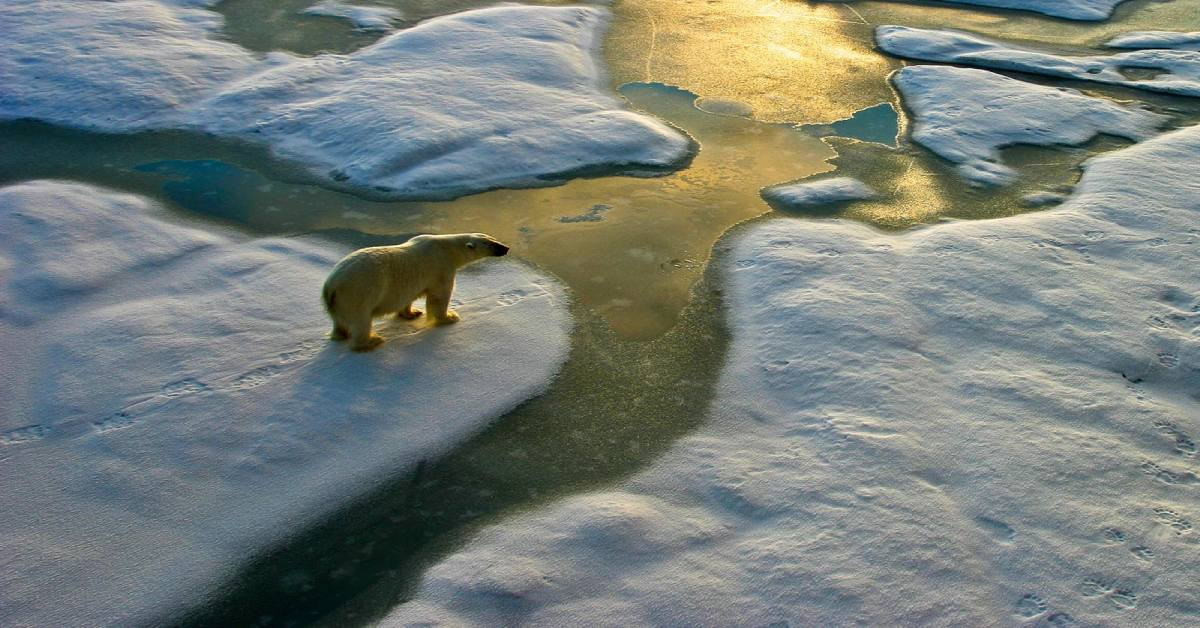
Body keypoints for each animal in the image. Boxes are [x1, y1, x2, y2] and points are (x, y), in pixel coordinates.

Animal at [321, 232, 508, 350]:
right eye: (491, 244)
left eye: (493, 238)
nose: (506, 247)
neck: (446, 248)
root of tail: (331, 286)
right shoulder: (441, 268)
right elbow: (439, 297)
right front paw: (450, 317)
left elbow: (408, 298)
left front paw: (412, 313)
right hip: (358, 293)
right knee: (361, 321)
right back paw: (372, 341)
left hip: (338, 302)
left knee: (339, 322)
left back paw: (341, 335)